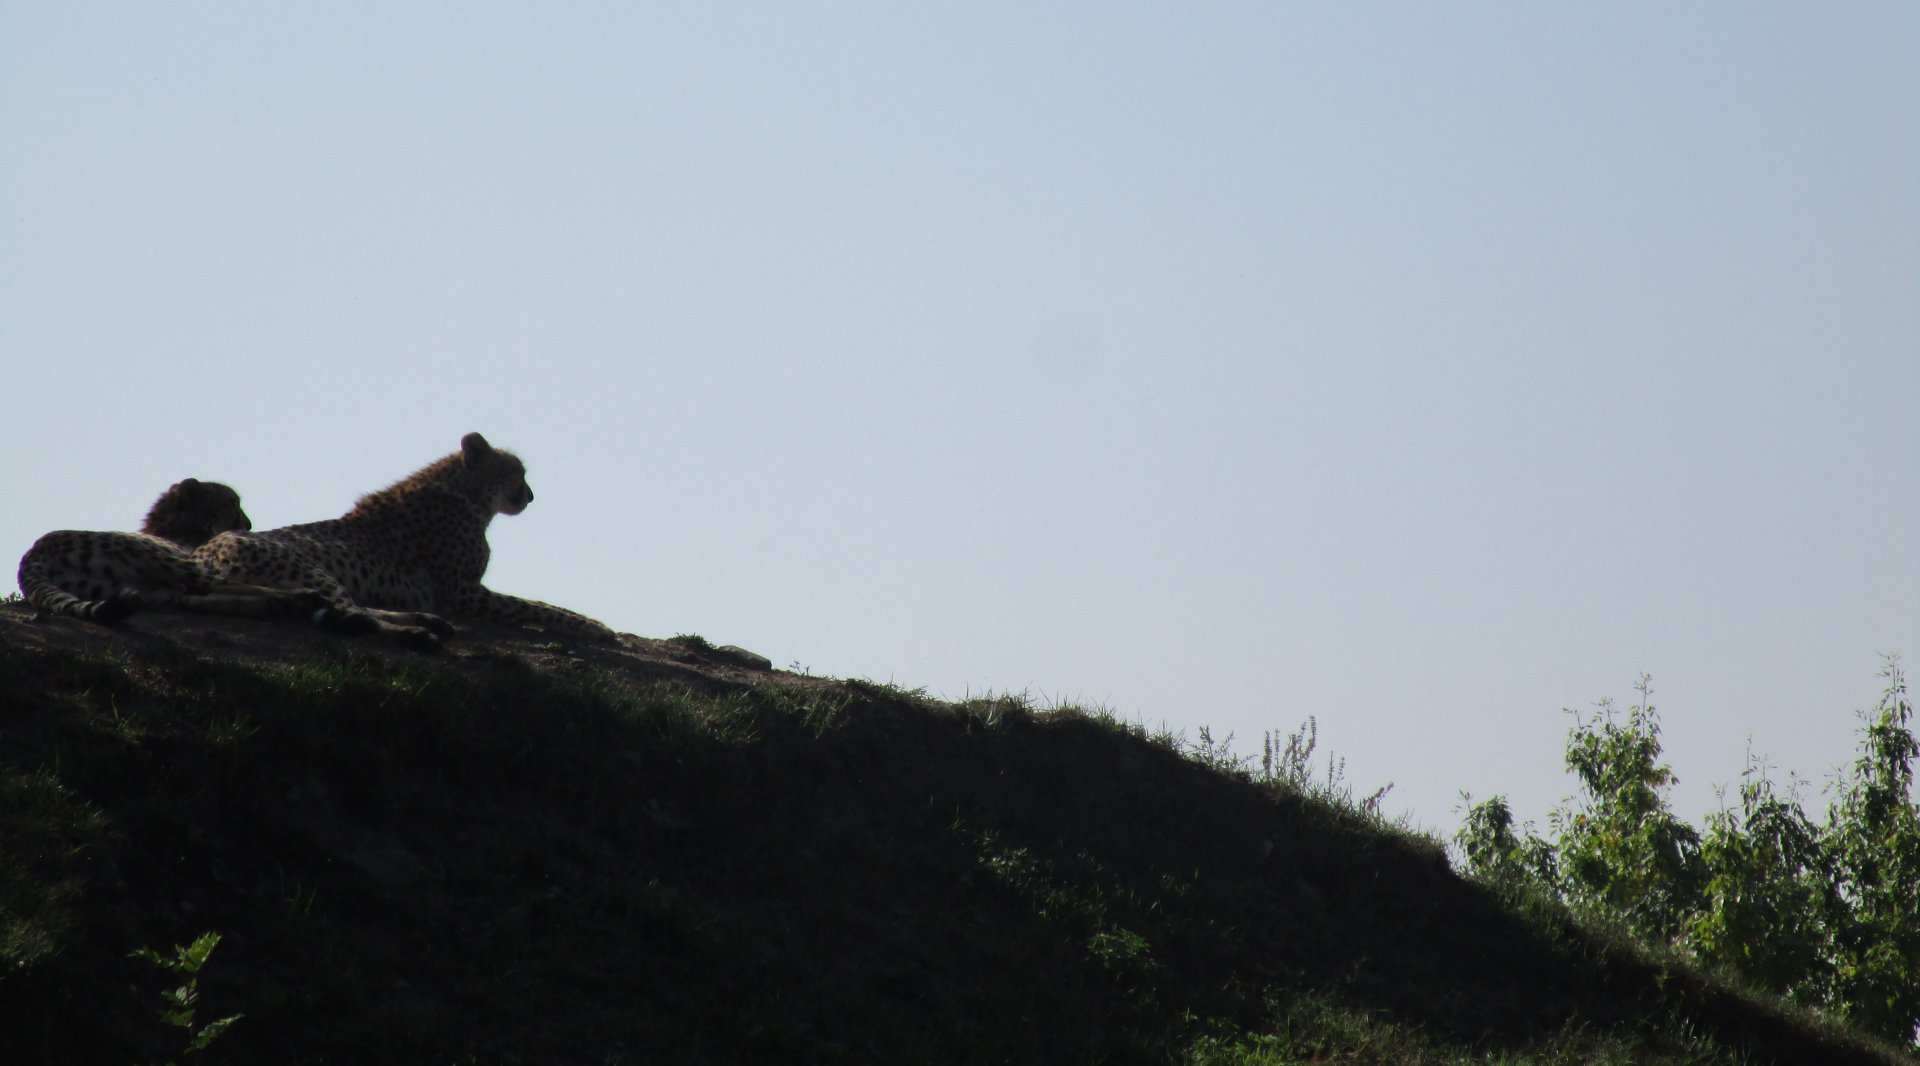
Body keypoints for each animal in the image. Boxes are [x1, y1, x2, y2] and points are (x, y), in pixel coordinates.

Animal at [193, 432, 617, 644]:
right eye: (516, 472)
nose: (530, 495)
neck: (467, 493)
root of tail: (202, 553)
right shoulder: (463, 592)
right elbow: (537, 606)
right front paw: (594, 627)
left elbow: (538, 604)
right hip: (311, 570)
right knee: (349, 614)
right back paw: (416, 631)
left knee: (354, 608)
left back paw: (426, 620)